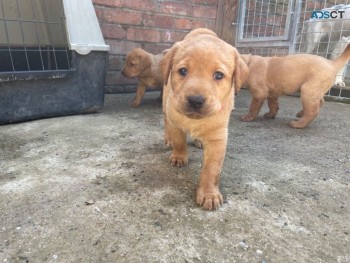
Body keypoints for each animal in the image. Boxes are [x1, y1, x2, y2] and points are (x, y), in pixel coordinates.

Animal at [161, 28, 249, 210]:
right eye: (182, 71)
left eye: (218, 75)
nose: (195, 100)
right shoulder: (175, 122)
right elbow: (179, 141)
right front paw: (179, 156)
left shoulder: (218, 138)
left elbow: (211, 170)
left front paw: (209, 194)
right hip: (166, 104)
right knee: (166, 122)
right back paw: (168, 139)